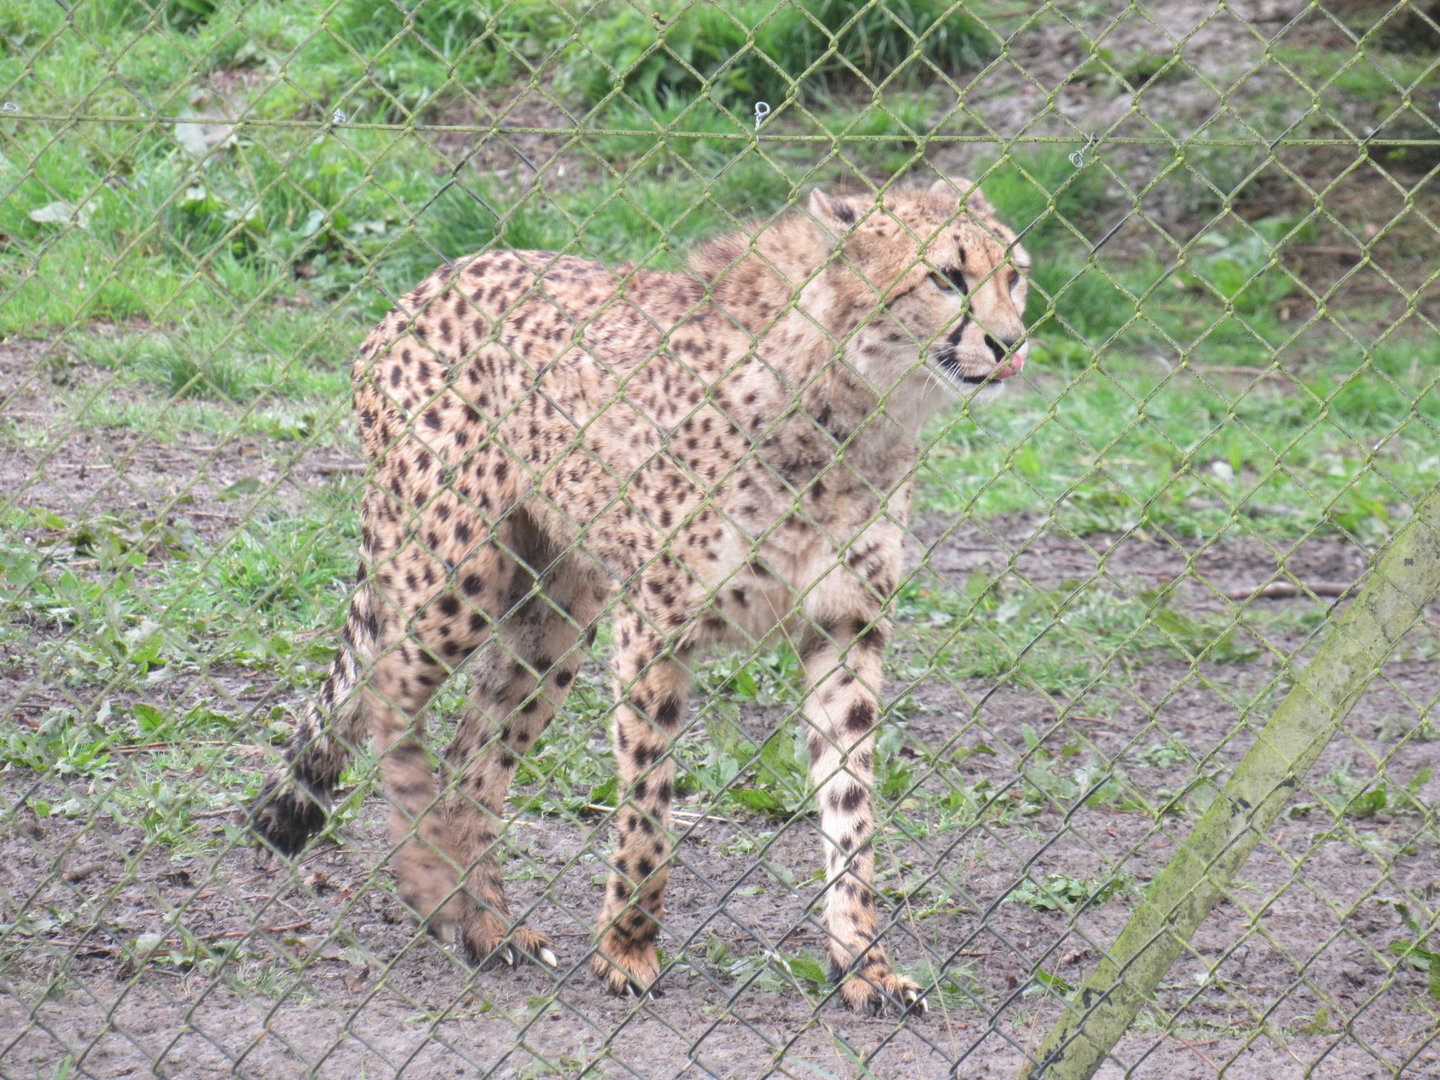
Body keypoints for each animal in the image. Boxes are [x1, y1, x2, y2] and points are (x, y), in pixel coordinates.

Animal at [248, 176, 1030, 1016]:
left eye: (1013, 276)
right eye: (946, 277)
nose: (1011, 343)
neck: (852, 399)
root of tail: (433, 279)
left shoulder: (844, 628)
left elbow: (852, 808)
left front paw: (863, 962)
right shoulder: (656, 622)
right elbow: (650, 804)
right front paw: (627, 949)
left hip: (554, 619)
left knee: (469, 754)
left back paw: (485, 921)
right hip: (455, 574)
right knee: (391, 695)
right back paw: (433, 885)